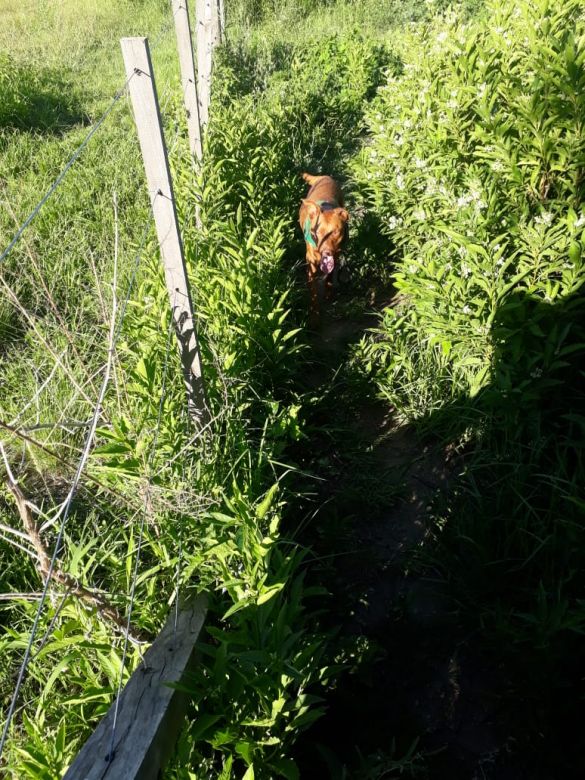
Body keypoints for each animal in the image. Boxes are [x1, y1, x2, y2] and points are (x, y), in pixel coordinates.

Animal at [302, 173, 346, 322]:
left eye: (335, 232)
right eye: (317, 232)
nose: (326, 252)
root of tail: (323, 176)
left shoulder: (335, 256)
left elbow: (329, 275)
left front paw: (328, 292)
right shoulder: (310, 266)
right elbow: (313, 293)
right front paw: (314, 318)